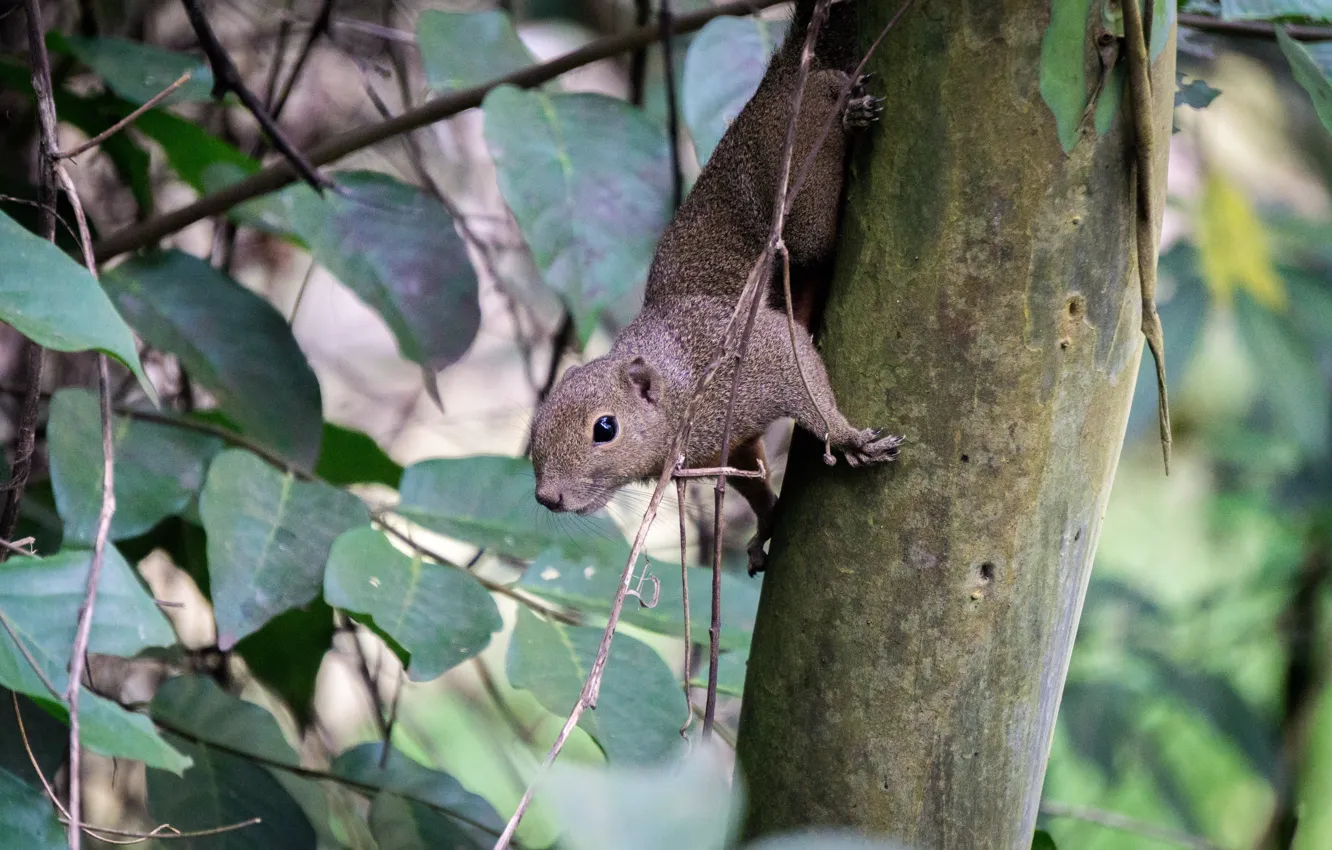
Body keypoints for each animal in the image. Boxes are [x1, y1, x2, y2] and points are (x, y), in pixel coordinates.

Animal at [528, 0, 902, 575]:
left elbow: (801, 370)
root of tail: (779, 77)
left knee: (823, 97)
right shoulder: (723, 449)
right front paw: (766, 522)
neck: (679, 389)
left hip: (798, 178)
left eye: (605, 429)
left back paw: (844, 105)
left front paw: (845, 436)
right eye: (536, 425)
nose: (547, 497)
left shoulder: (751, 360)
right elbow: (750, 477)